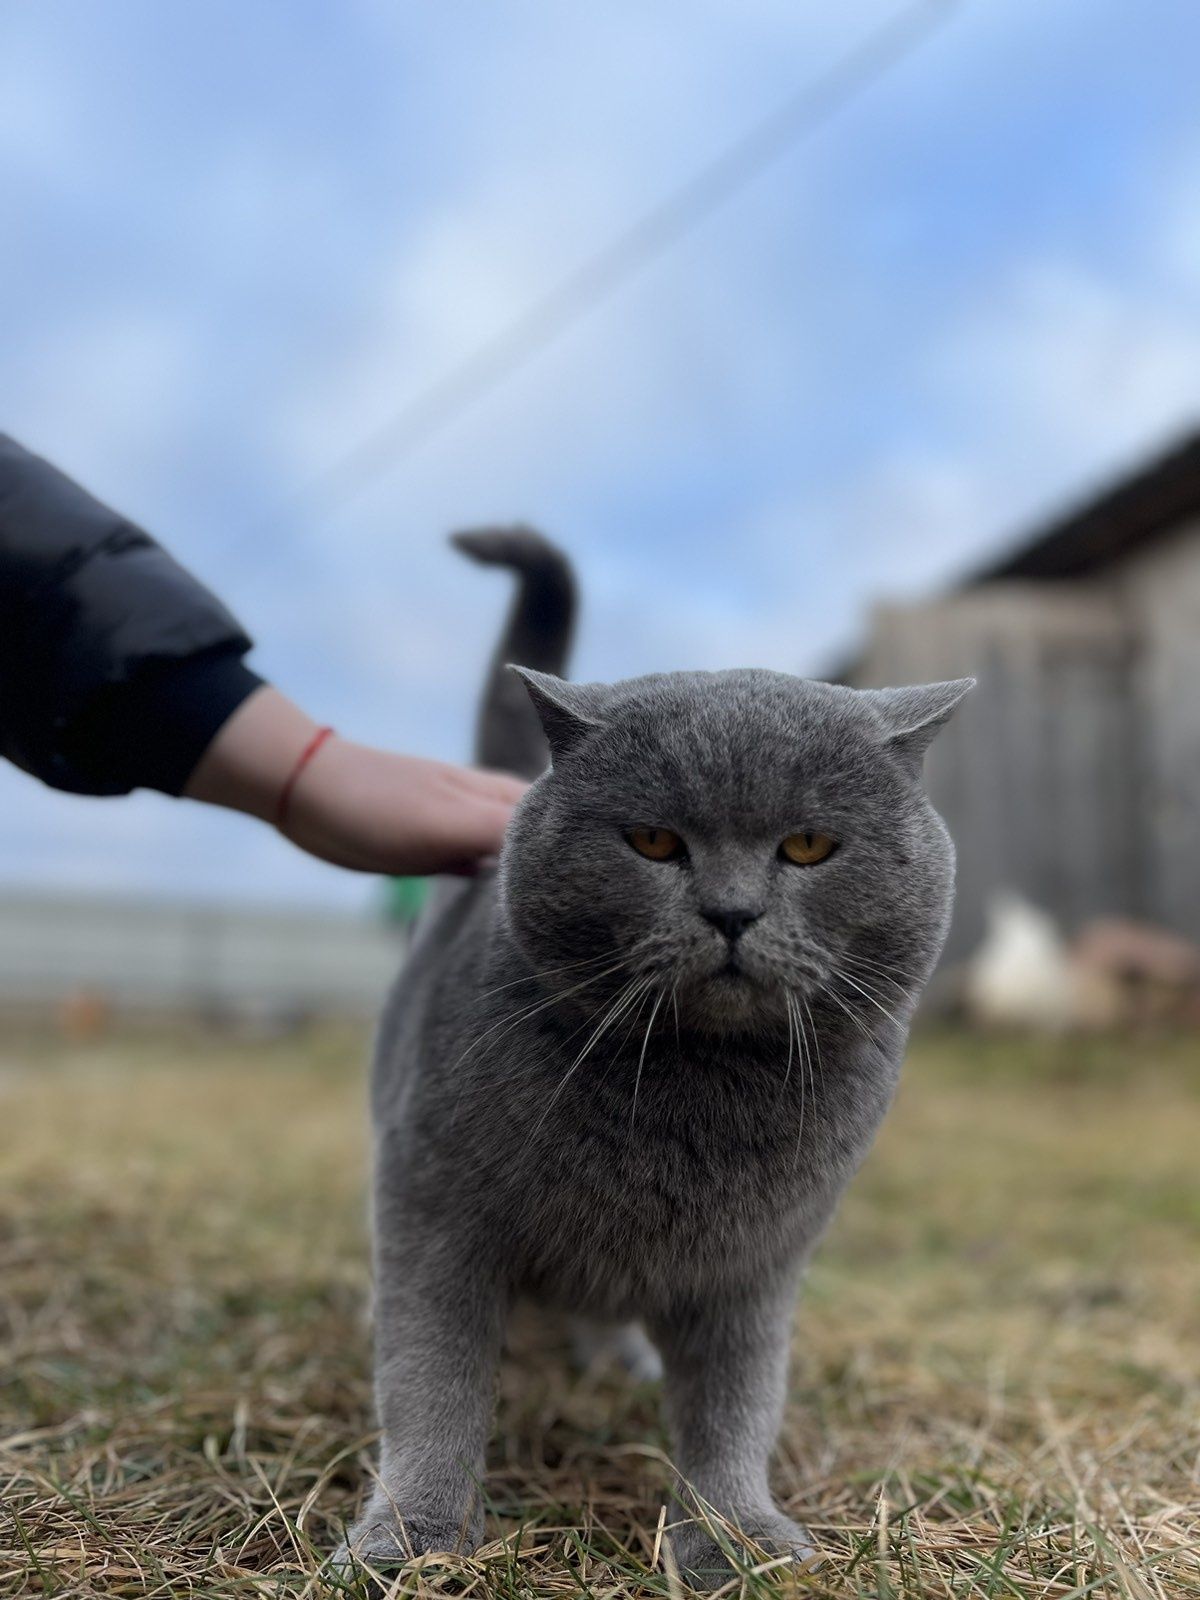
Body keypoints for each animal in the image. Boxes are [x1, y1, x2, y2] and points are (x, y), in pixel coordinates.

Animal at [336, 531, 966, 1580]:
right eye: (653, 840)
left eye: (808, 844)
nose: (731, 911)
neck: (690, 1094)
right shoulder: (435, 1207)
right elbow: (432, 1381)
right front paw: (412, 1538)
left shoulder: (759, 1261)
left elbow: (737, 1404)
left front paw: (734, 1538)